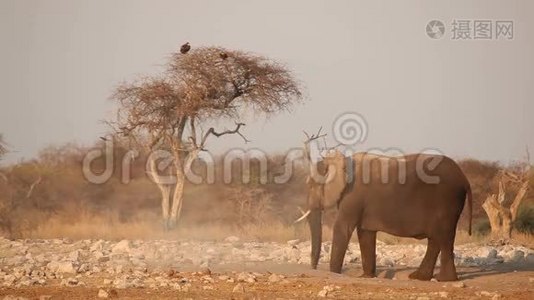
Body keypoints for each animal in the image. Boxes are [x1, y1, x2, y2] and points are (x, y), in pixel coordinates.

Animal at [298, 151, 474, 282]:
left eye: (311, 186)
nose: (313, 269)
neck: (340, 161)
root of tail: (464, 179)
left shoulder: (352, 197)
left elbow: (343, 228)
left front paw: (335, 274)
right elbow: (365, 233)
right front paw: (366, 277)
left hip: (447, 201)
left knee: (444, 237)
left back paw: (444, 279)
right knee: (436, 238)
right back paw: (419, 277)